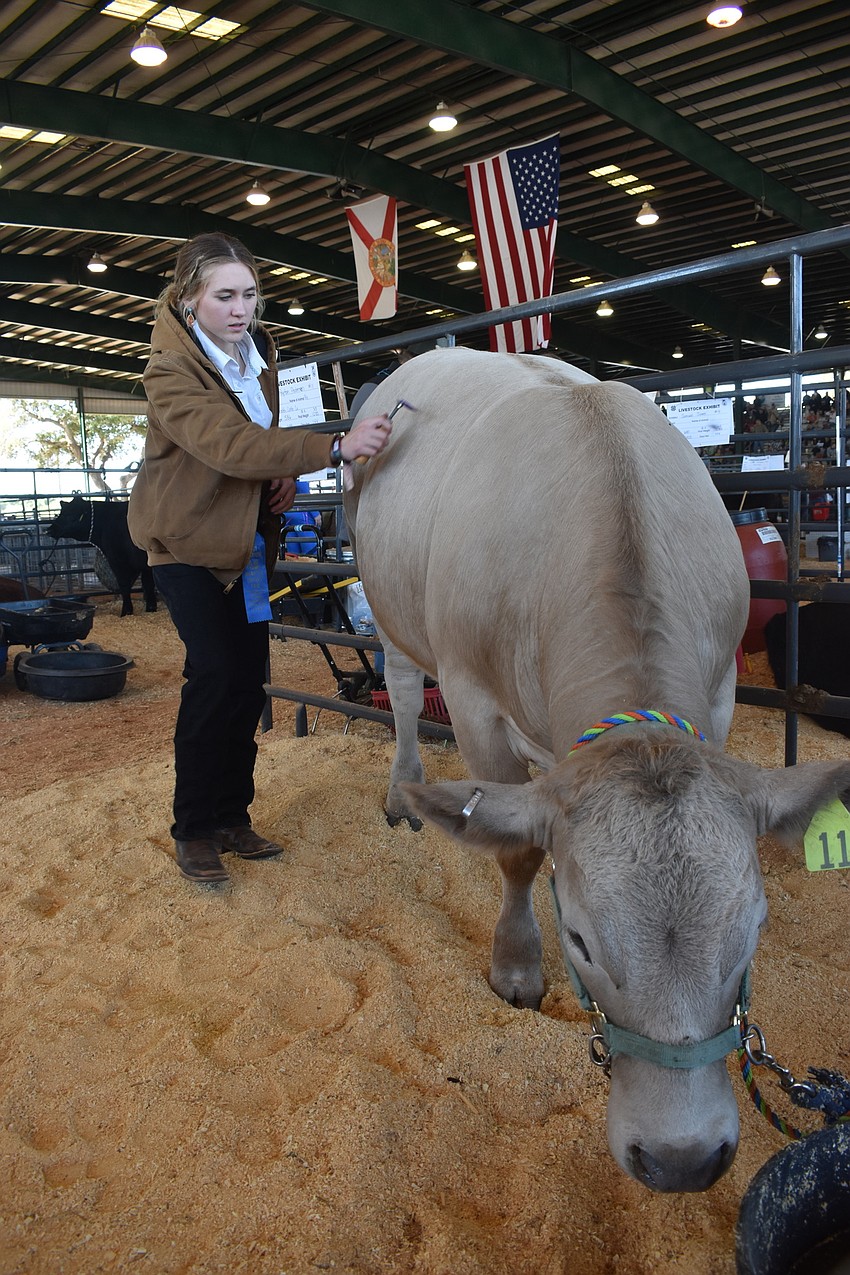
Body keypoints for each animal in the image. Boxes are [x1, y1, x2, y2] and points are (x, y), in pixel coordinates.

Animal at [344, 347, 850, 1193]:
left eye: (754, 928)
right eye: (577, 939)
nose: (681, 1158)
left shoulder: (717, 693)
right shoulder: (474, 700)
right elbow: (518, 851)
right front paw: (515, 965)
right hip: (389, 609)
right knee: (408, 693)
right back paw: (400, 792)